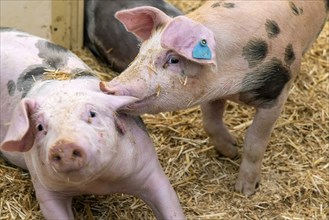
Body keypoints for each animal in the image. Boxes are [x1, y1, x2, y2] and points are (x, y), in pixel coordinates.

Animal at [0, 28, 184, 220]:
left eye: (92, 113)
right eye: (40, 127)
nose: (63, 145)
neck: (97, 183)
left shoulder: (149, 170)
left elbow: (170, 206)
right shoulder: (46, 190)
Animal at [100, 0, 328, 196]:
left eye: (173, 60)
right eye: (141, 52)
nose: (107, 86)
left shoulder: (276, 94)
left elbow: (254, 143)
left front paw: (245, 191)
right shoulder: (211, 91)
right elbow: (211, 123)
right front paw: (230, 151)